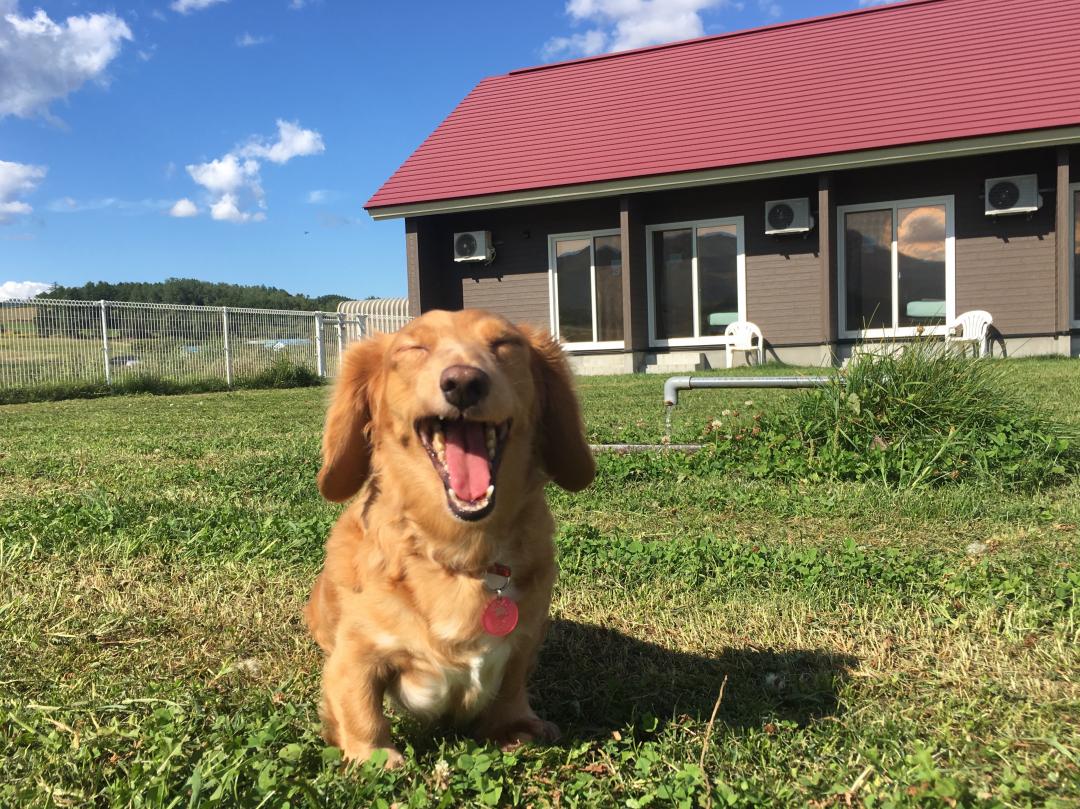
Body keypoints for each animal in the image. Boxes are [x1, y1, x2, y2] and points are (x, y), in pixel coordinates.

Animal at [304, 304, 596, 764]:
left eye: (505, 344)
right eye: (413, 348)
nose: (463, 382)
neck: (460, 554)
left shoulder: (524, 641)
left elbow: (511, 687)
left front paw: (514, 725)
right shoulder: (354, 655)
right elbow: (360, 704)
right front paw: (374, 756)